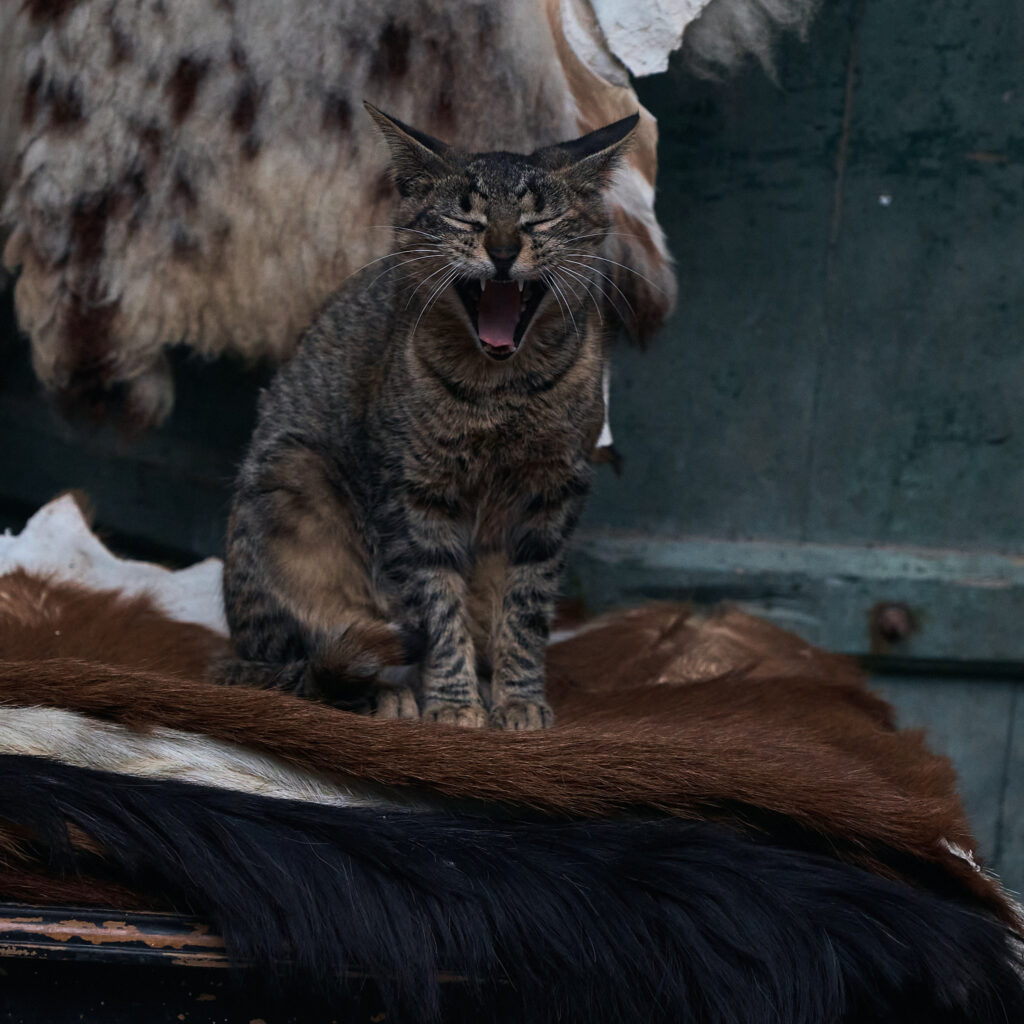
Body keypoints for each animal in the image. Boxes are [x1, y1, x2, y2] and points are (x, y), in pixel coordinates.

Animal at [223, 103, 634, 729]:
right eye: (467, 218)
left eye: (538, 221)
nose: (504, 252)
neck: (500, 392)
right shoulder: (412, 496)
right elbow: (437, 609)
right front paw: (452, 701)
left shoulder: (554, 493)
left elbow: (526, 609)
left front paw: (517, 696)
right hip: (291, 478)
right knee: (299, 664)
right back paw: (383, 692)